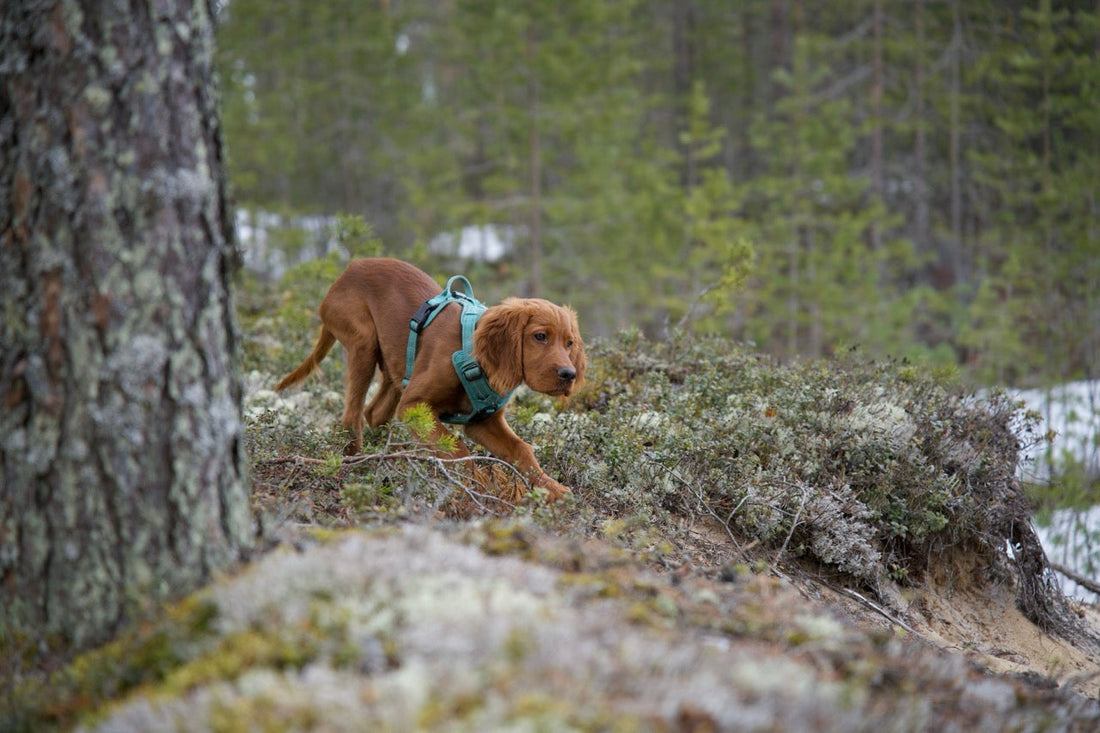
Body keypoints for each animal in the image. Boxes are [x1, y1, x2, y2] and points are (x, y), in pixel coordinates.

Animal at [275, 255, 585, 497]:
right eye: (540, 336)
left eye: (569, 343)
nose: (569, 374)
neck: (475, 359)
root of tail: (347, 271)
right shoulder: (414, 405)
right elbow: (457, 449)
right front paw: (477, 488)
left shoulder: (483, 422)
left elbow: (522, 450)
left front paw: (551, 489)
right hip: (363, 343)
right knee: (352, 417)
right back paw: (358, 461)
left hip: (395, 364)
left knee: (374, 412)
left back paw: (390, 453)